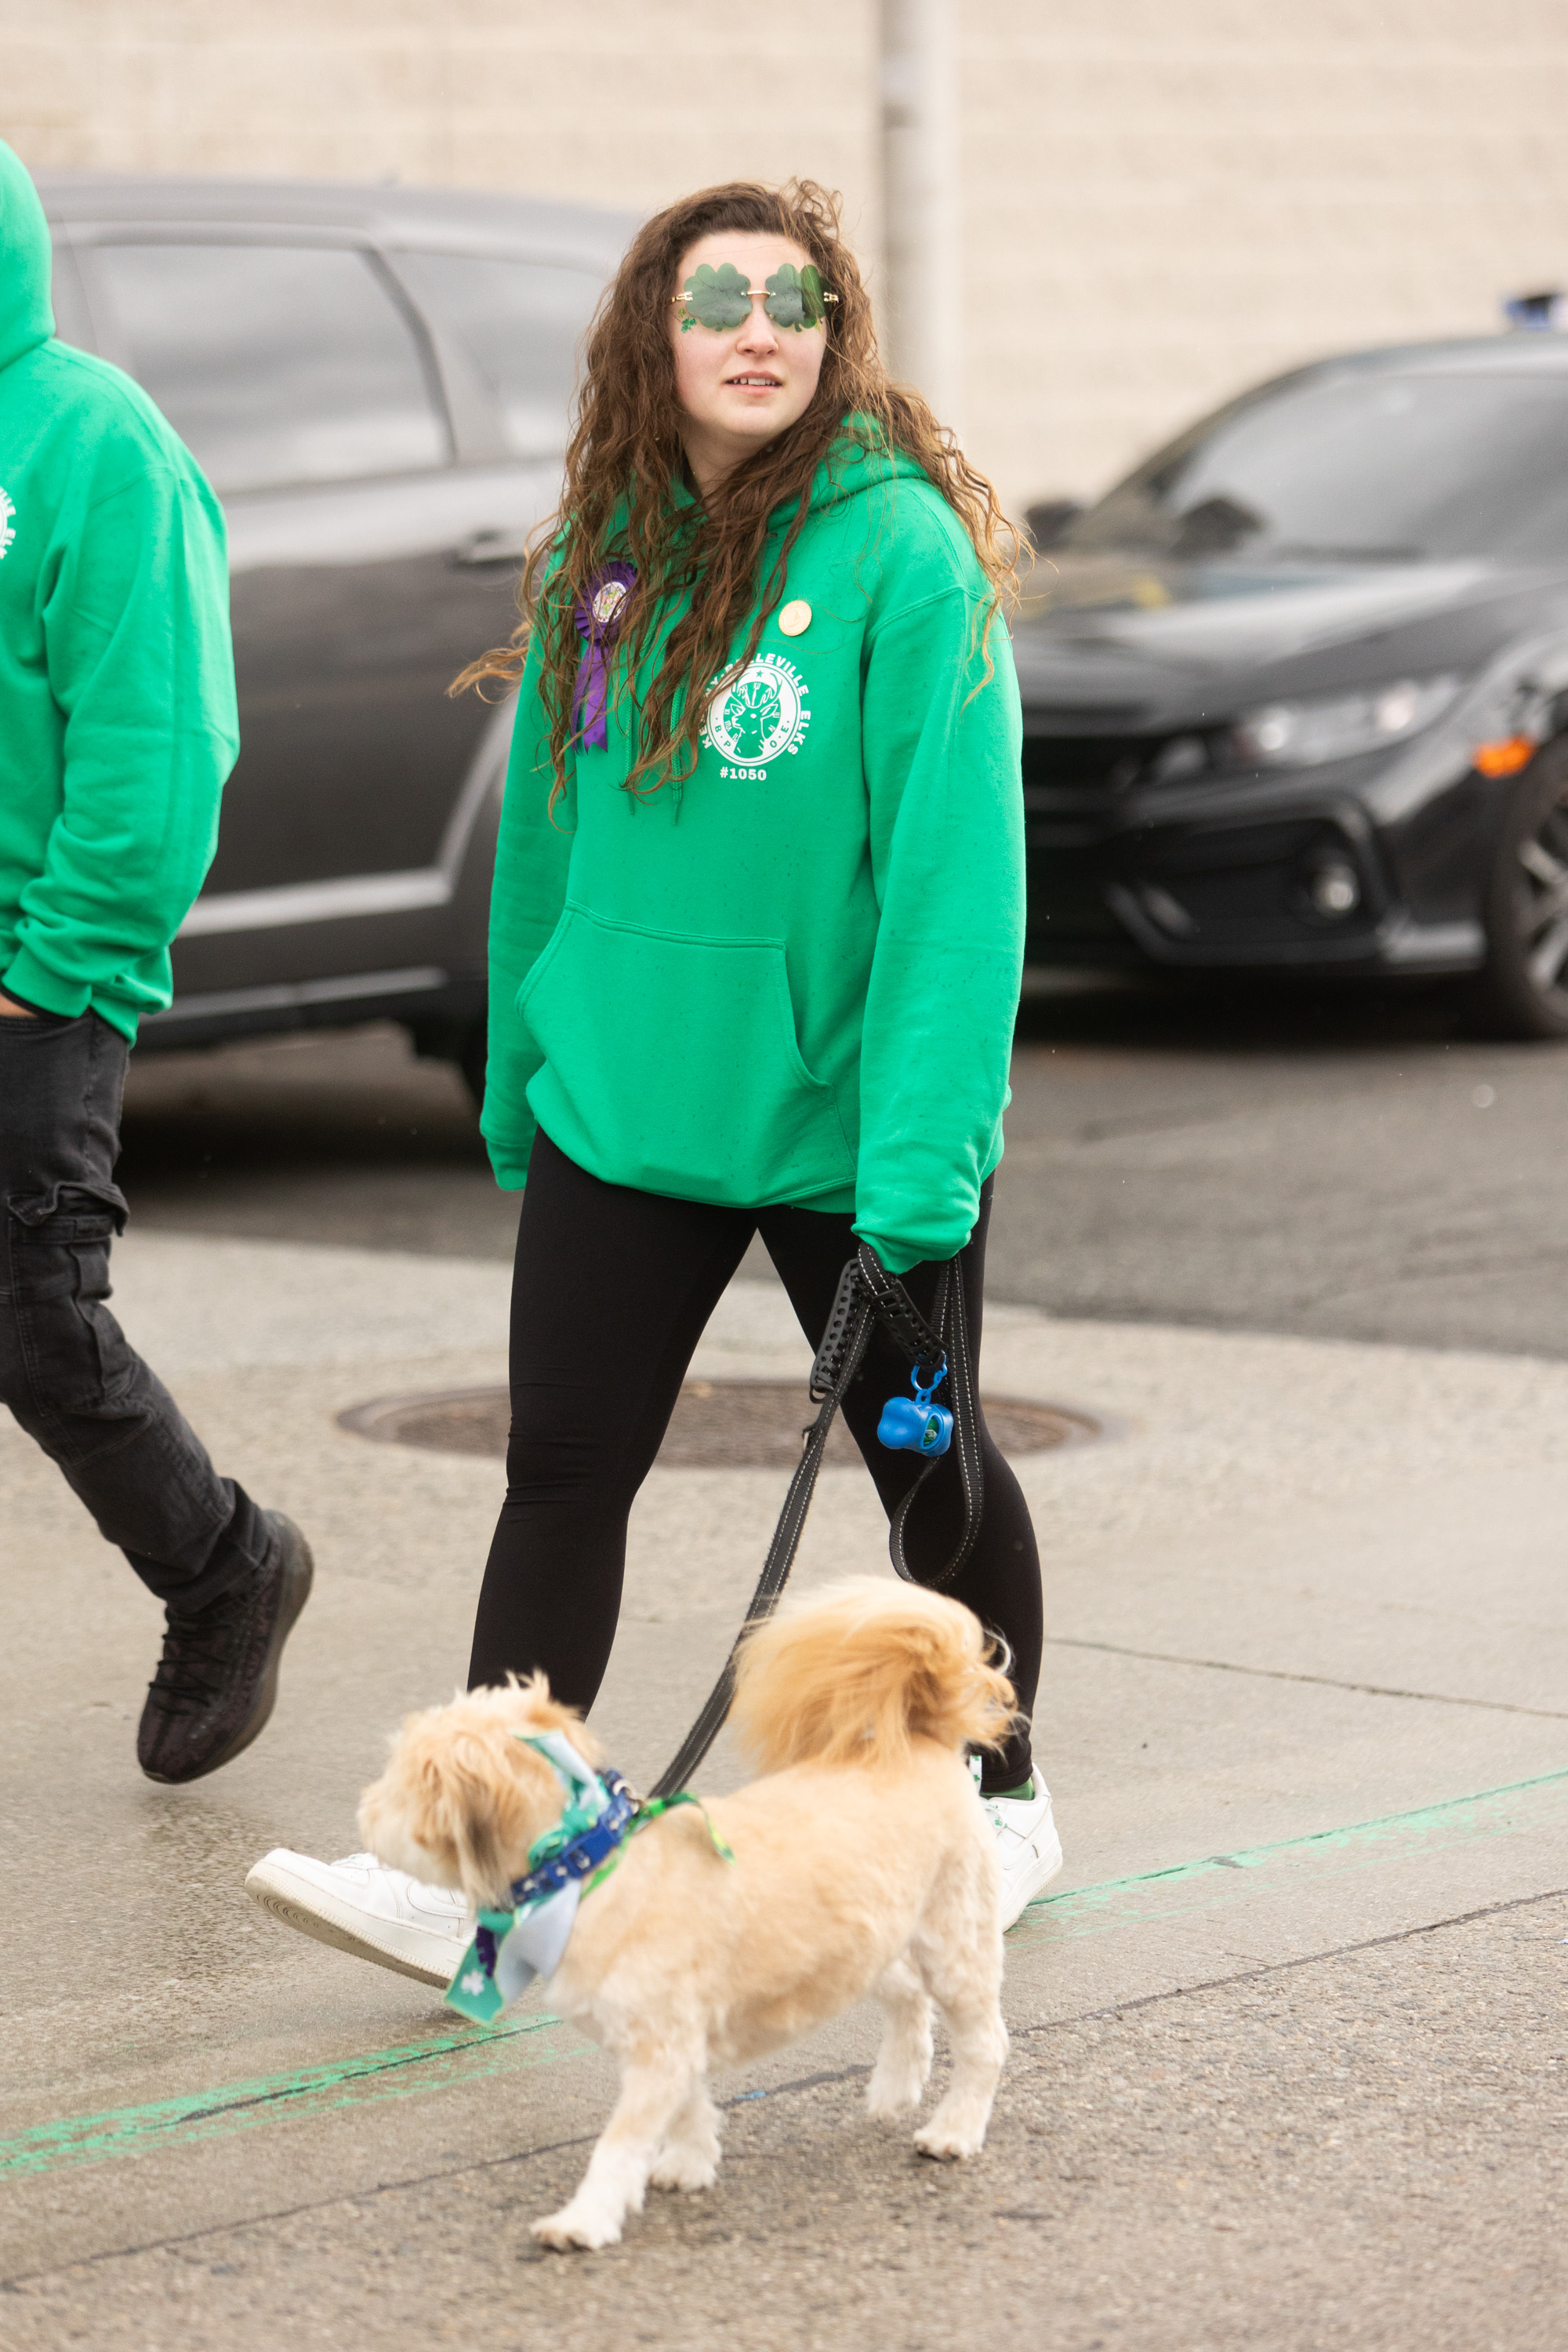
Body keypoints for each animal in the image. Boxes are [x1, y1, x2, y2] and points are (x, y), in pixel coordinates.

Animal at [357, 1571, 1020, 2249]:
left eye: (399, 1786)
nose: (363, 1810)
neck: (585, 1869)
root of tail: (924, 1738)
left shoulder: (659, 2049)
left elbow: (618, 2146)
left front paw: (584, 2220)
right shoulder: (677, 2044)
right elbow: (689, 2111)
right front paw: (688, 2165)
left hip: (954, 1946)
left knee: (984, 2043)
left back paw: (954, 2130)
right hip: (860, 1943)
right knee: (907, 1995)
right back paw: (895, 2086)